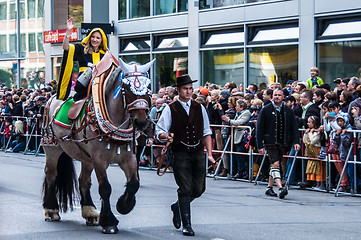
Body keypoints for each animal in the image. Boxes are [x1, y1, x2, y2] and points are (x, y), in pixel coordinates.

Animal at [41, 52, 155, 232]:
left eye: (148, 88)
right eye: (127, 88)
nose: (142, 122)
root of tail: (52, 97)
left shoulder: (128, 158)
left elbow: (133, 183)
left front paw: (123, 205)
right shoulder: (99, 159)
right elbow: (105, 188)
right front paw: (108, 222)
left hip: (86, 157)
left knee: (83, 180)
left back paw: (90, 212)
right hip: (53, 148)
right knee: (52, 175)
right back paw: (51, 210)